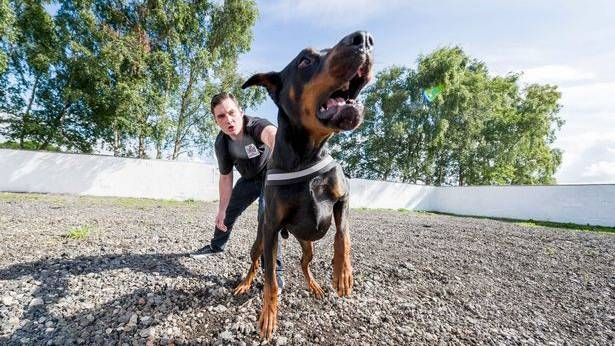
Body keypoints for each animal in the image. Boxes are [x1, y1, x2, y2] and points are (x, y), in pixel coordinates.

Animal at [233, 31, 372, 340]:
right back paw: (245, 283)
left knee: (304, 262)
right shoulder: (272, 228)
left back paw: (315, 285)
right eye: (305, 61)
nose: (364, 39)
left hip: (307, 243)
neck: (307, 155)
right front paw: (268, 317)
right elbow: (270, 280)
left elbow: (343, 235)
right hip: (261, 238)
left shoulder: (343, 198)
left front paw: (342, 275)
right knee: (255, 261)